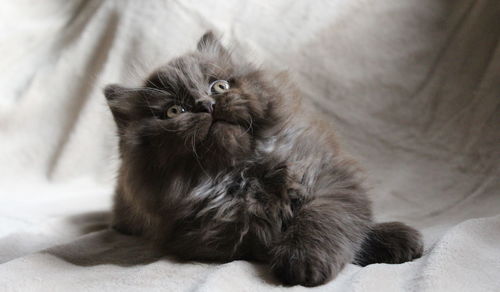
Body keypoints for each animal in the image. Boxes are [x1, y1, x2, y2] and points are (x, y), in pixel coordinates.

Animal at [104, 30, 422, 286]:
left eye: (219, 86)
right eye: (174, 111)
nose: (206, 105)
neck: (244, 172)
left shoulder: (327, 177)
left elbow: (327, 216)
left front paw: (397, 237)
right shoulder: (226, 232)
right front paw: (304, 262)